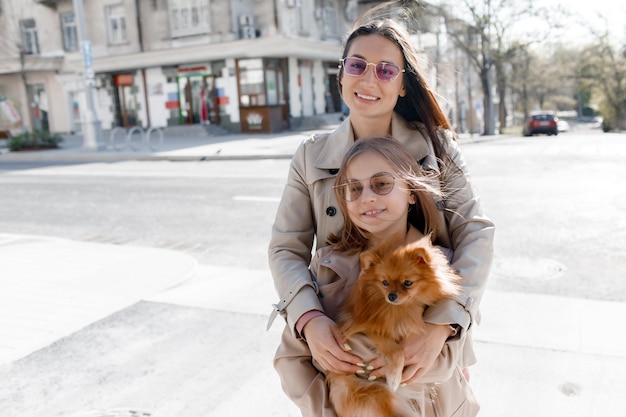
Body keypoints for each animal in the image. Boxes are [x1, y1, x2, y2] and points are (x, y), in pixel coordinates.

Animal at [326, 234, 458, 416]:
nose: (392, 296)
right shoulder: (366, 327)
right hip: (374, 393)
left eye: (407, 283)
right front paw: (394, 377)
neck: (403, 308)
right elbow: (396, 350)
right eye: (385, 283)